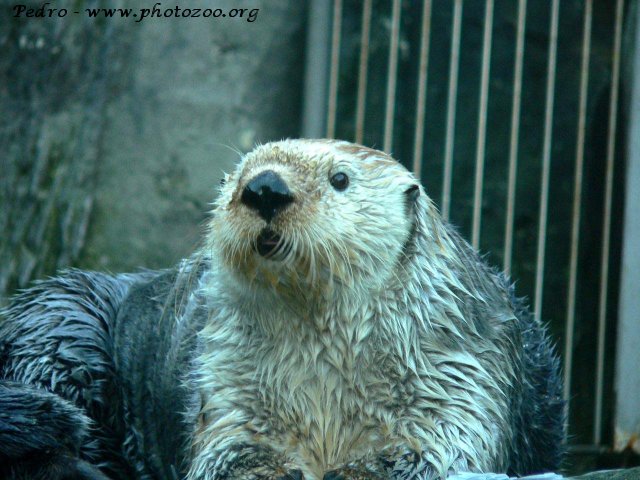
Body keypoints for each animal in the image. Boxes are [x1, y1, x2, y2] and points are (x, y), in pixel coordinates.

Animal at [0, 139, 565, 480]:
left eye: (340, 179)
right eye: (238, 177)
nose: (265, 187)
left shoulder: (460, 366)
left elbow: (439, 445)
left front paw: (360, 468)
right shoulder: (225, 375)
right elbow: (230, 446)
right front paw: (268, 468)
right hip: (61, 324)